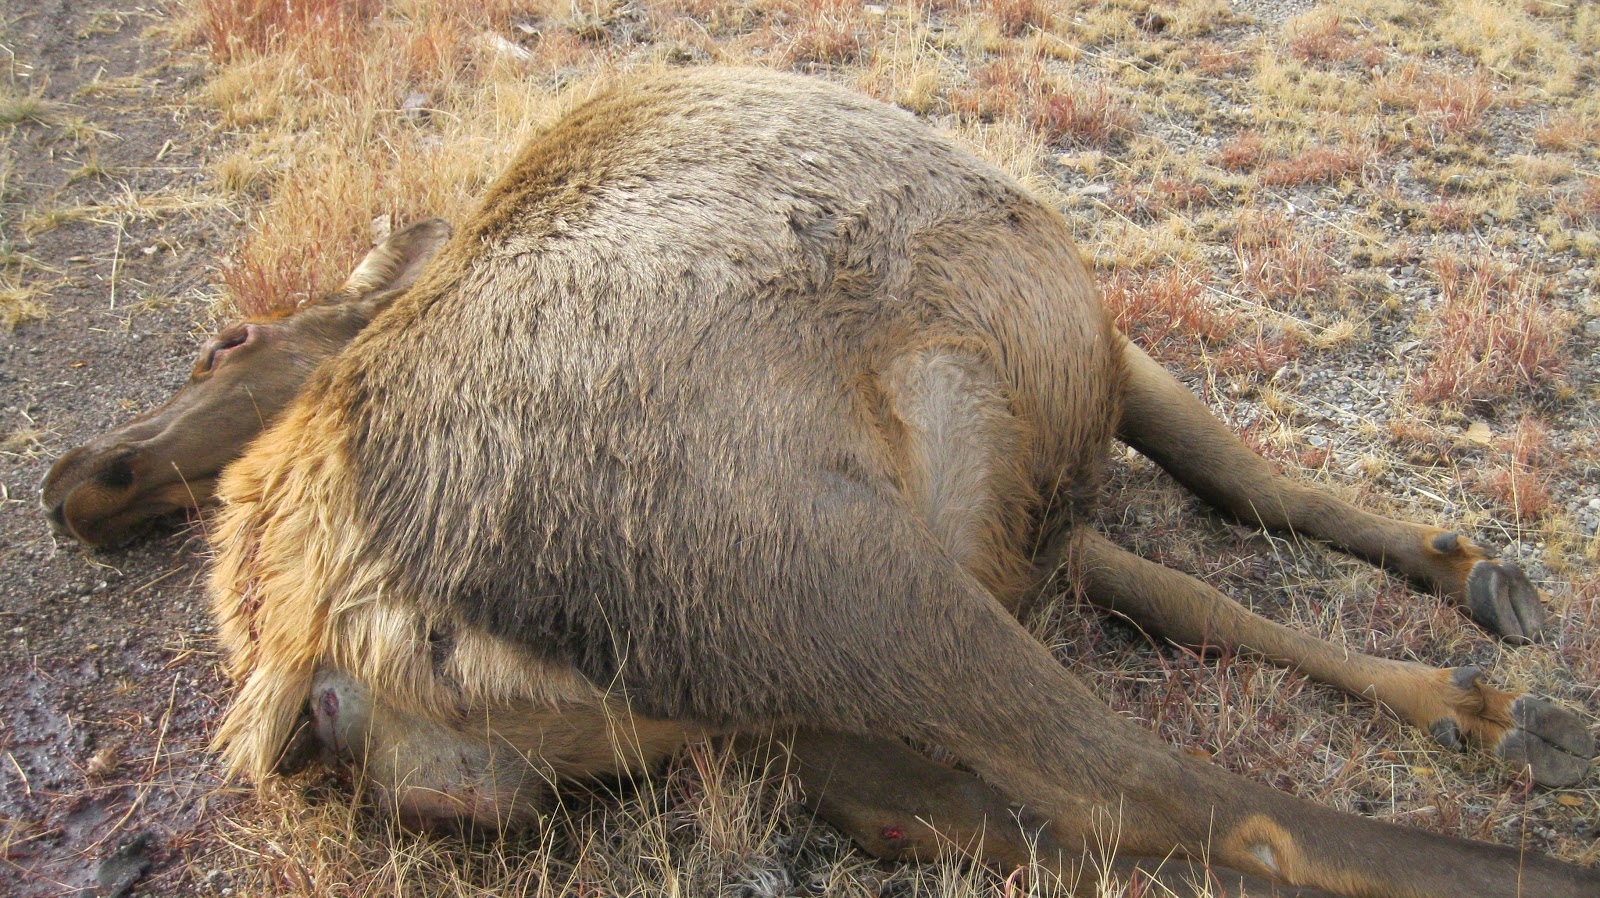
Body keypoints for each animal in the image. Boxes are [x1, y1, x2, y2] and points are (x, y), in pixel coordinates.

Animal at [40, 68, 1597, 897]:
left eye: (227, 338)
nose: (79, 480)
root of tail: (310, 646)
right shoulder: (1088, 362)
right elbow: (1236, 490)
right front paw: (1486, 643)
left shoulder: (1020, 503)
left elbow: (1215, 559)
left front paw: (1478, 660)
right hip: (823, 569)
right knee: (1201, 803)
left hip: (759, 706)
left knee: (1026, 815)